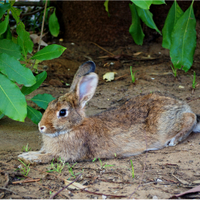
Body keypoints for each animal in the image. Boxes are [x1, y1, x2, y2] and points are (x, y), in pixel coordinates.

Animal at [18, 61, 200, 164]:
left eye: (62, 112)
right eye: (49, 105)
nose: (41, 127)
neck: (74, 127)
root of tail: (183, 106)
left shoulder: (67, 155)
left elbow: (48, 157)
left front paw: (28, 158)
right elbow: (41, 152)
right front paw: (25, 154)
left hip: (165, 123)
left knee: (190, 119)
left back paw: (175, 139)